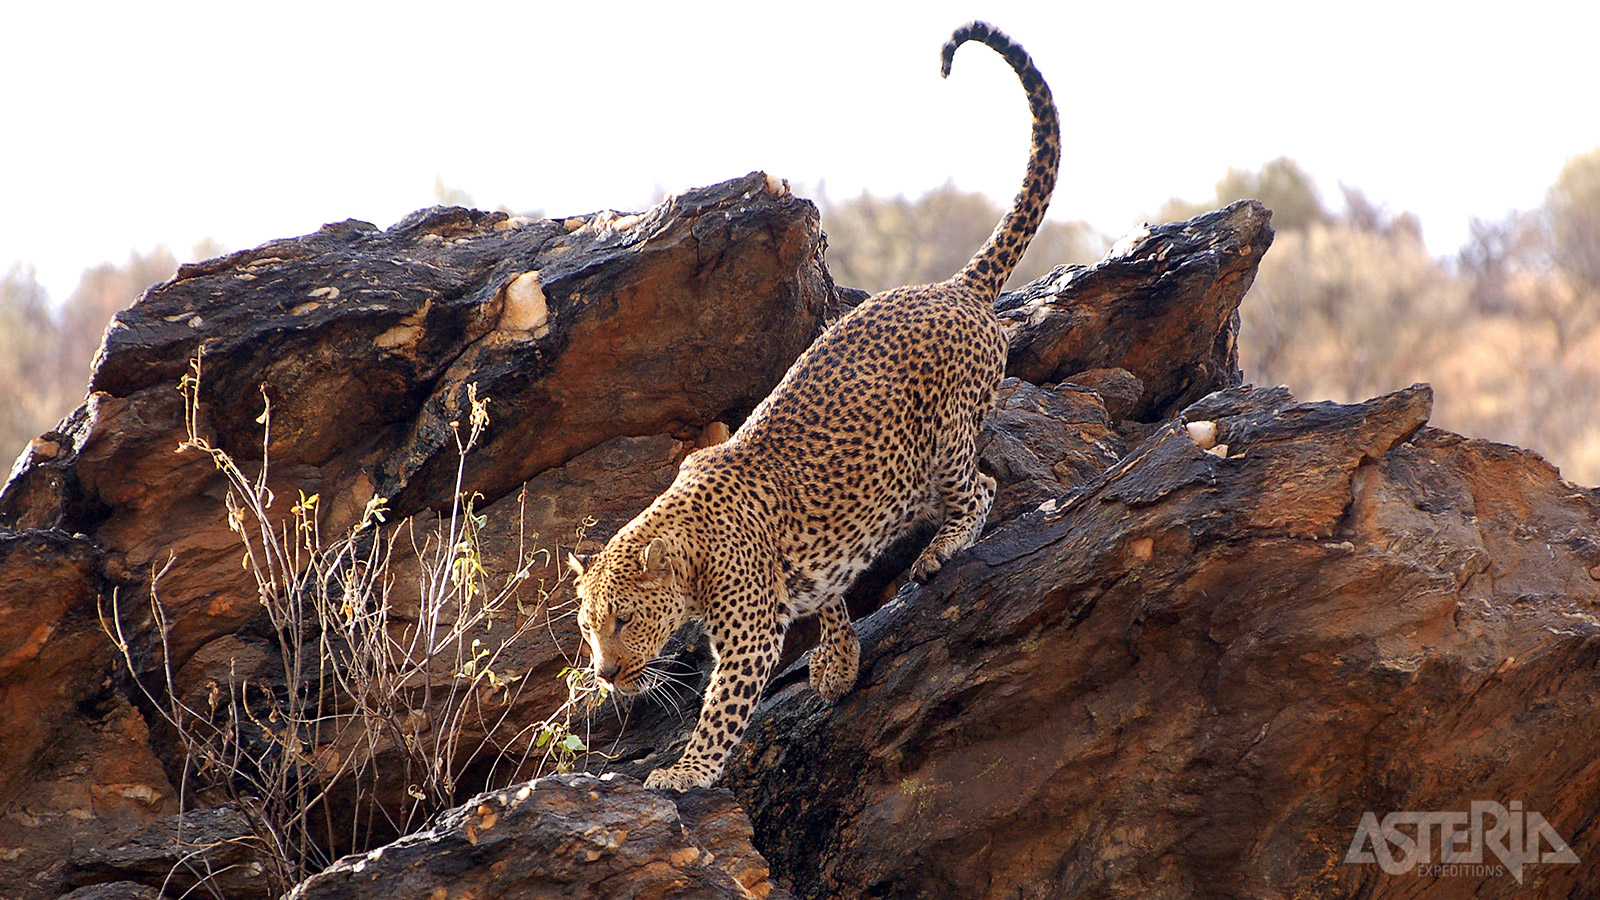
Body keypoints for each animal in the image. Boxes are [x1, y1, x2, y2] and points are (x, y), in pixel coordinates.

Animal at [569, 21, 1056, 787]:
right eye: (589, 628)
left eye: (623, 620)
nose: (607, 674)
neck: (690, 547)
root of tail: (954, 287)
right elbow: (827, 591)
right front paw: (836, 662)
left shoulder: (749, 639)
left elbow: (720, 713)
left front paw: (685, 774)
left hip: (947, 441)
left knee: (980, 486)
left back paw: (941, 551)